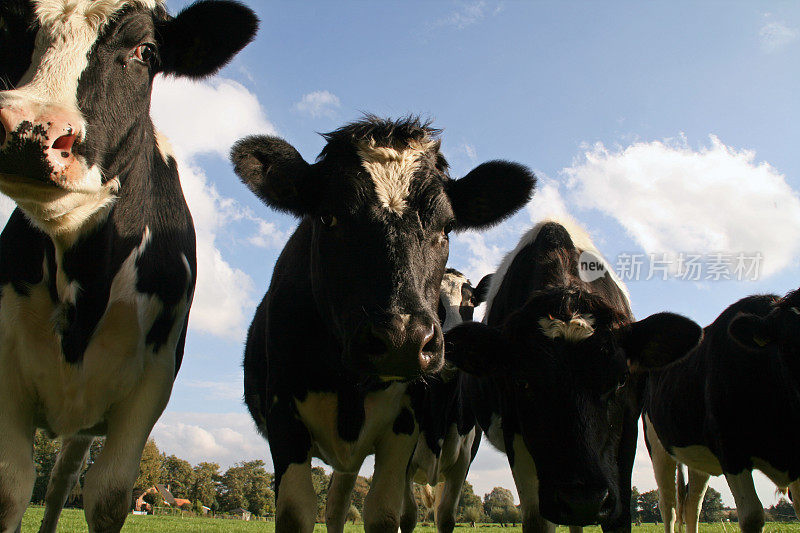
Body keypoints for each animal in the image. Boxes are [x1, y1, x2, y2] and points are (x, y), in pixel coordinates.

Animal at [0, 2, 258, 528]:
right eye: (10, 24)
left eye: (146, 51)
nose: (28, 128)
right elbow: (10, 489)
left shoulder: (150, 383)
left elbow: (108, 494)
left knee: (62, 481)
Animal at [228, 116, 536, 532]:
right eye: (328, 217)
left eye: (446, 228)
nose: (403, 340)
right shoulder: (283, 414)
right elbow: (295, 512)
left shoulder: (407, 427)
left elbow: (387, 513)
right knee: (335, 507)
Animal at [444, 218, 700, 528]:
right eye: (521, 382)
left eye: (621, 380)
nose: (583, 501)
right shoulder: (517, 436)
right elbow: (537, 519)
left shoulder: (627, 430)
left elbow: (620, 516)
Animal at [648, 286, 800, 532]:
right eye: (790, 345)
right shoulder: (731, 449)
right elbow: (752, 516)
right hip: (658, 446)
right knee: (668, 505)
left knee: (692, 504)